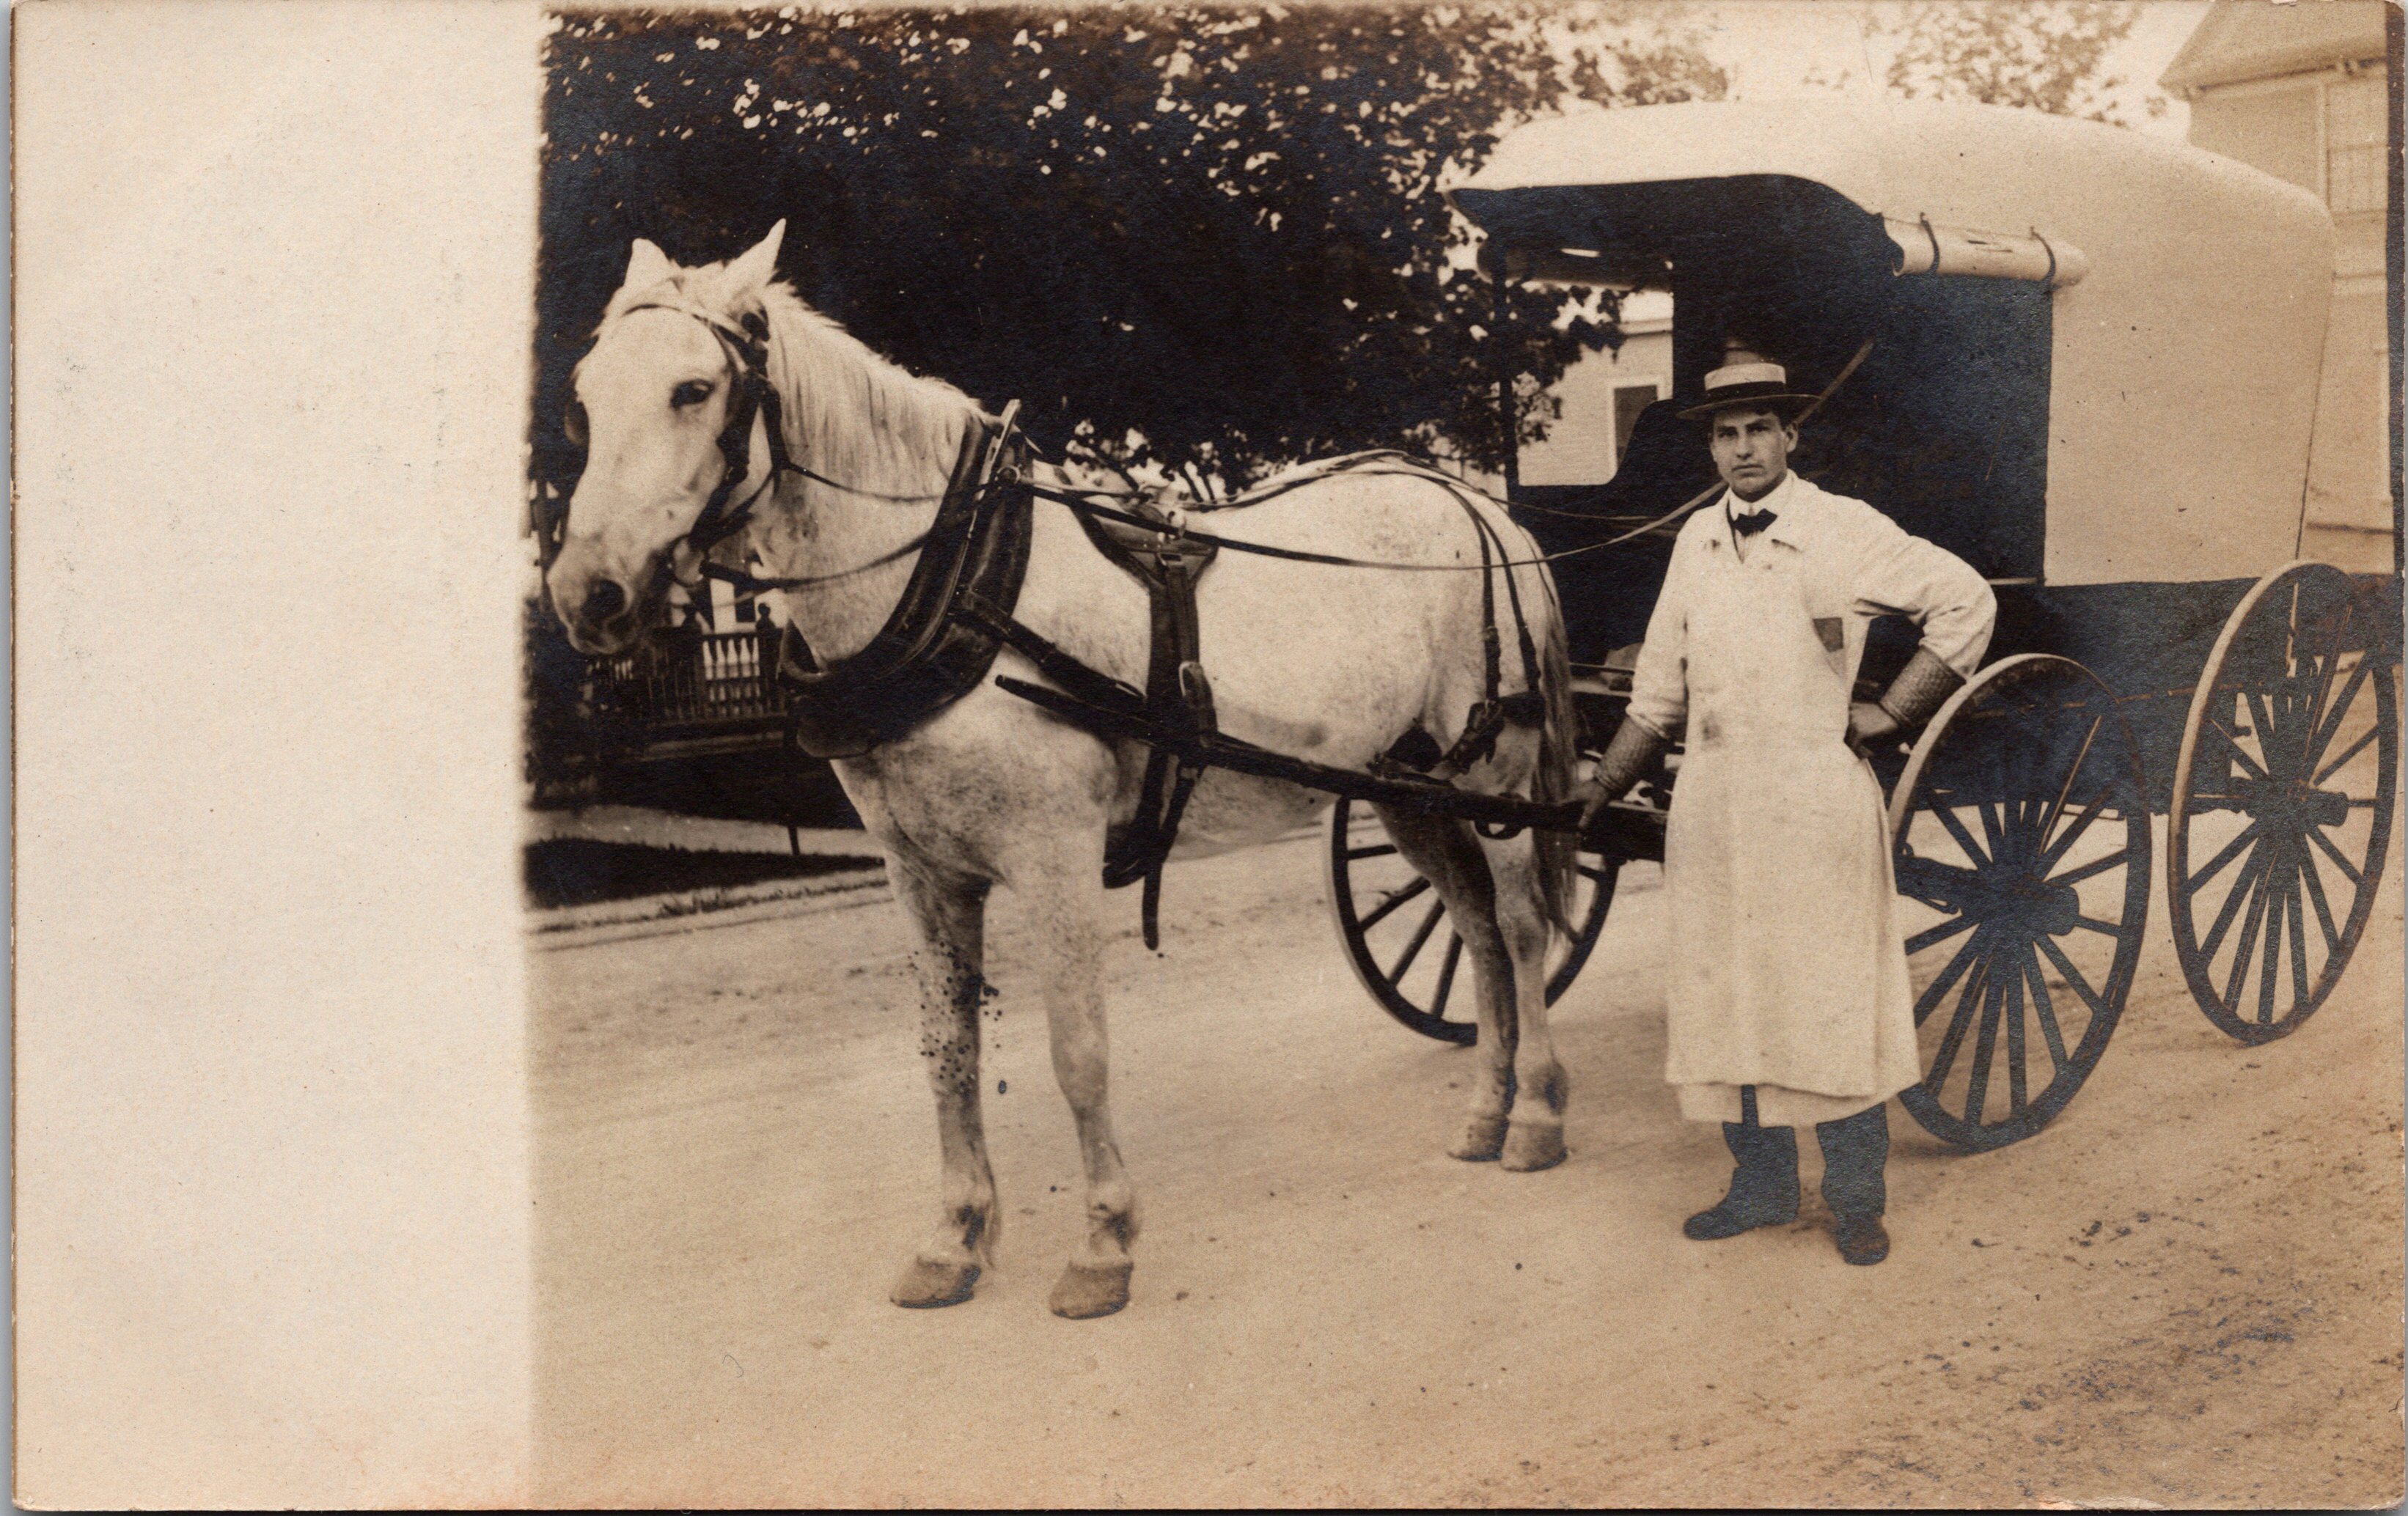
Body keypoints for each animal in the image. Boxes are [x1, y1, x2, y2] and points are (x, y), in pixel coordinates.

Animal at [546, 222, 1585, 1319]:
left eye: (694, 389)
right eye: (582, 399)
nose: (586, 592)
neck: (954, 580)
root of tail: (1472, 499)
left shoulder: (1056, 857)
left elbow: (1076, 1052)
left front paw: (1103, 1245)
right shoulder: (921, 871)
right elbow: (948, 1051)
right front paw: (954, 1239)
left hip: (1496, 773)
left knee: (1520, 925)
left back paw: (1536, 1116)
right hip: (1411, 787)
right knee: (1473, 927)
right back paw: (1485, 1113)